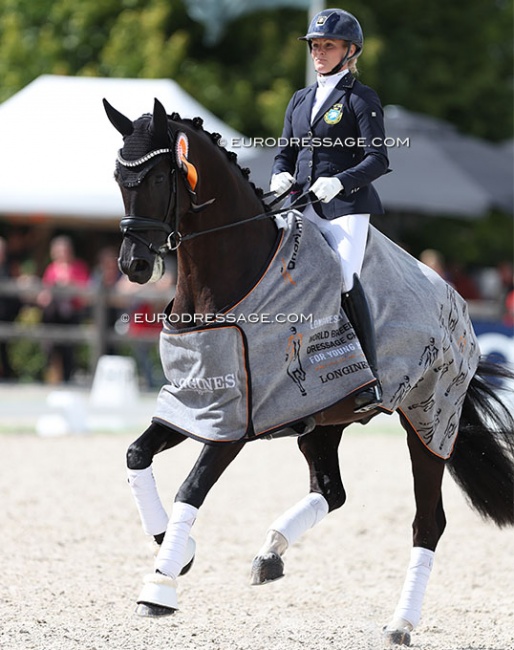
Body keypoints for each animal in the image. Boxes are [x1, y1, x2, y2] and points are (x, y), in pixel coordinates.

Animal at [103, 98, 512, 644]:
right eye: (118, 177)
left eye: (155, 177)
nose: (134, 266)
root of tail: (458, 307)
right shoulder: (198, 404)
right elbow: (135, 455)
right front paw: (178, 549)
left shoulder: (236, 423)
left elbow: (191, 488)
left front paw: (160, 587)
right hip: (322, 420)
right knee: (331, 491)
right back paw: (270, 552)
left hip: (428, 423)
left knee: (428, 523)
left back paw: (400, 624)